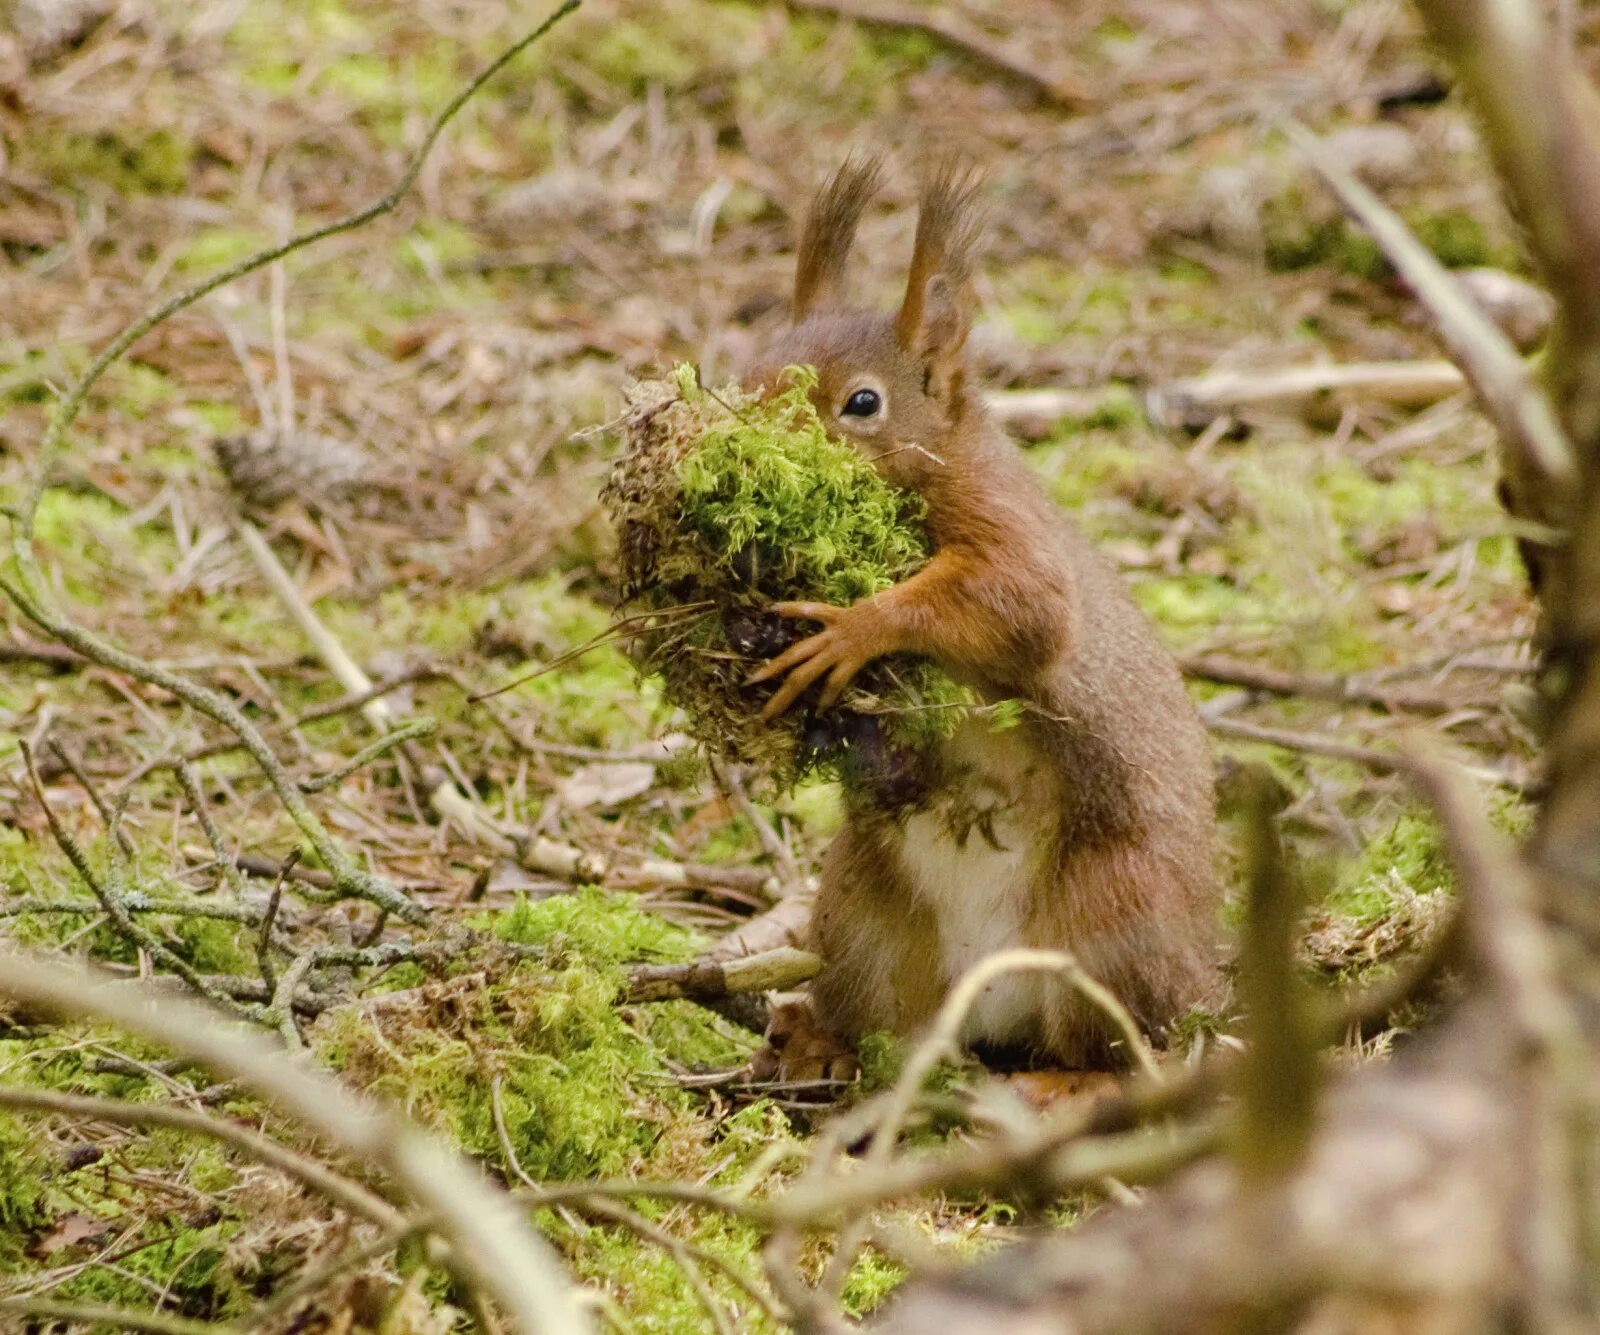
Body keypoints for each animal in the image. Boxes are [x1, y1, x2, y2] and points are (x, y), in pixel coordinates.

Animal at [742, 158, 1216, 1069]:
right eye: (748, 366)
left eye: (862, 403)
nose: (744, 441)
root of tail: (986, 996)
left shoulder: (1006, 526)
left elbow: (1023, 605)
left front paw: (853, 626)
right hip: (856, 913)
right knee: (882, 1019)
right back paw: (817, 1036)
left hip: (1118, 914)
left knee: (1118, 1044)